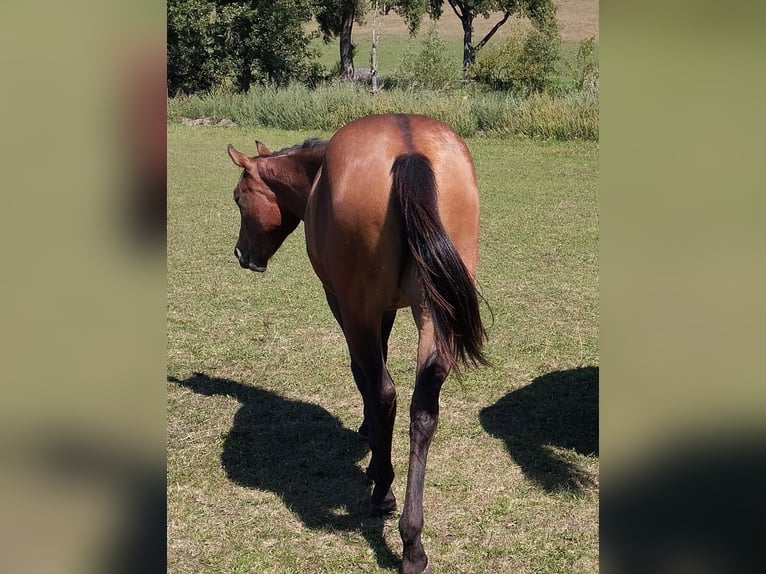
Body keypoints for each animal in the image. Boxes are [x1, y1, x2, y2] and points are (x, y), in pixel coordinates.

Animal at [226, 114, 488, 574]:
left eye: (240, 198)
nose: (242, 255)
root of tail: (409, 149)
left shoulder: (346, 305)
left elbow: (363, 372)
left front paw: (368, 435)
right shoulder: (386, 311)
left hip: (359, 309)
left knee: (385, 393)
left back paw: (382, 490)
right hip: (433, 314)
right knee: (422, 410)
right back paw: (412, 541)